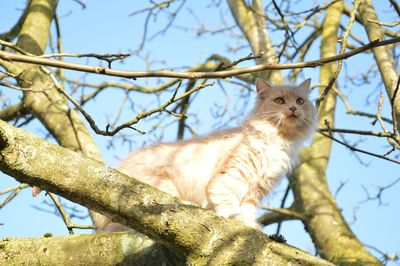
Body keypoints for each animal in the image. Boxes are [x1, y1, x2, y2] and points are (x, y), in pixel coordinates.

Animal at [97, 78, 316, 232]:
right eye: (279, 100)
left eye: (300, 101)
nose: (293, 108)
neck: (277, 142)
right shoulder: (232, 174)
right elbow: (227, 201)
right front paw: (234, 218)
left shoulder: (255, 191)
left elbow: (248, 211)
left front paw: (250, 226)